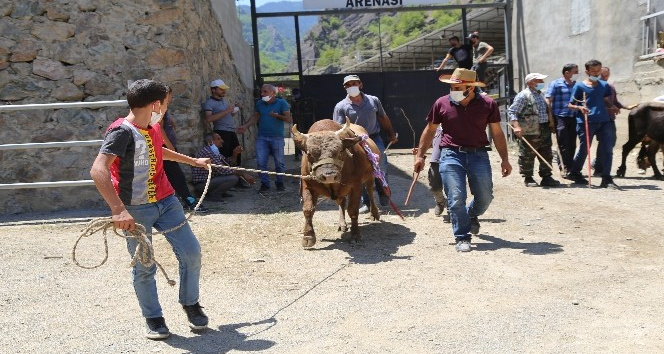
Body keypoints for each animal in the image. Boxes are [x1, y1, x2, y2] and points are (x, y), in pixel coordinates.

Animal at [294, 118, 382, 246]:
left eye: (340, 150)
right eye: (310, 154)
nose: (329, 176)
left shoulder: (356, 186)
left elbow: (353, 210)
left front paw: (355, 235)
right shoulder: (307, 185)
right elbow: (308, 209)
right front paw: (308, 236)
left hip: (370, 177)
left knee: (370, 192)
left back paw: (374, 214)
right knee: (342, 202)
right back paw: (342, 224)